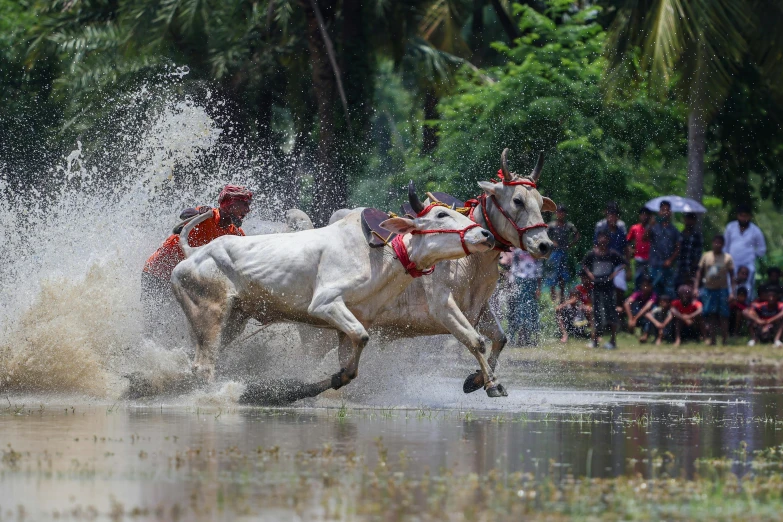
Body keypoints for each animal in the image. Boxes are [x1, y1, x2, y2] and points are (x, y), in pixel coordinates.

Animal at [172, 183, 496, 398]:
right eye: (441, 215)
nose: (486, 234)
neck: (385, 254)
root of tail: (193, 254)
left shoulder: (354, 319)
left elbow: (353, 354)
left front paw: (329, 380)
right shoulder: (326, 304)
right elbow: (362, 338)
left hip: (235, 318)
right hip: (210, 311)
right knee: (203, 366)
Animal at [330, 150, 556, 394]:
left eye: (540, 202)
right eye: (517, 200)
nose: (544, 245)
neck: (473, 260)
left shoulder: (479, 309)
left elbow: (500, 338)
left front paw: (477, 380)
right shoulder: (443, 307)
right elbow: (475, 341)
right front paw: (492, 383)